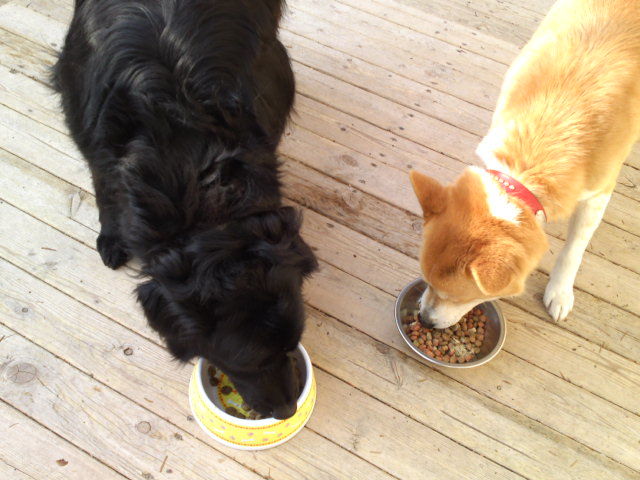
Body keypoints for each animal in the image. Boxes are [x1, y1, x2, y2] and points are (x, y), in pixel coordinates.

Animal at [53, 0, 317, 419]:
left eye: (293, 346)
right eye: (247, 364)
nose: (288, 410)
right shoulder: (87, 122)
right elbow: (103, 186)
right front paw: (111, 238)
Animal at [410, 0, 640, 328]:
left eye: (457, 297)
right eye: (426, 280)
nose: (425, 320)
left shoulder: (600, 191)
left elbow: (574, 248)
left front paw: (560, 291)